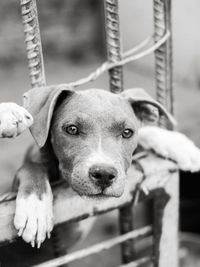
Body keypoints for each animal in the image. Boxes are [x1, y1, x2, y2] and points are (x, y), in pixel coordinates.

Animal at [12, 86, 175, 249]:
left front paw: (171, 141)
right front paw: (34, 208)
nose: (104, 174)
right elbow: (32, 166)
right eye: (72, 129)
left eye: (127, 132)